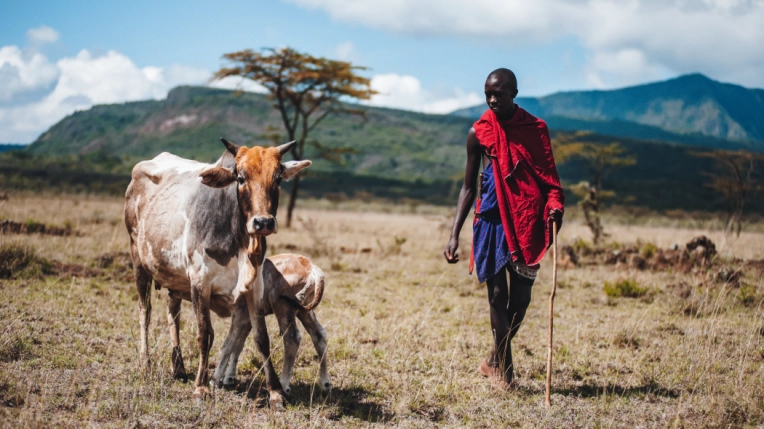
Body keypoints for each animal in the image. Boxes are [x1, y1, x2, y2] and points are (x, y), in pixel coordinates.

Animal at [124, 138, 308, 404]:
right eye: (240, 178)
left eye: (278, 178)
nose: (263, 222)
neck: (239, 240)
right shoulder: (200, 282)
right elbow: (205, 334)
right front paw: (201, 387)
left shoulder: (255, 286)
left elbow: (261, 337)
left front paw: (275, 391)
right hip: (138, 261)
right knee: (144, 312)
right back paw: (145, 363)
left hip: (175, 277)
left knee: (173, 312)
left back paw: (178, 367)